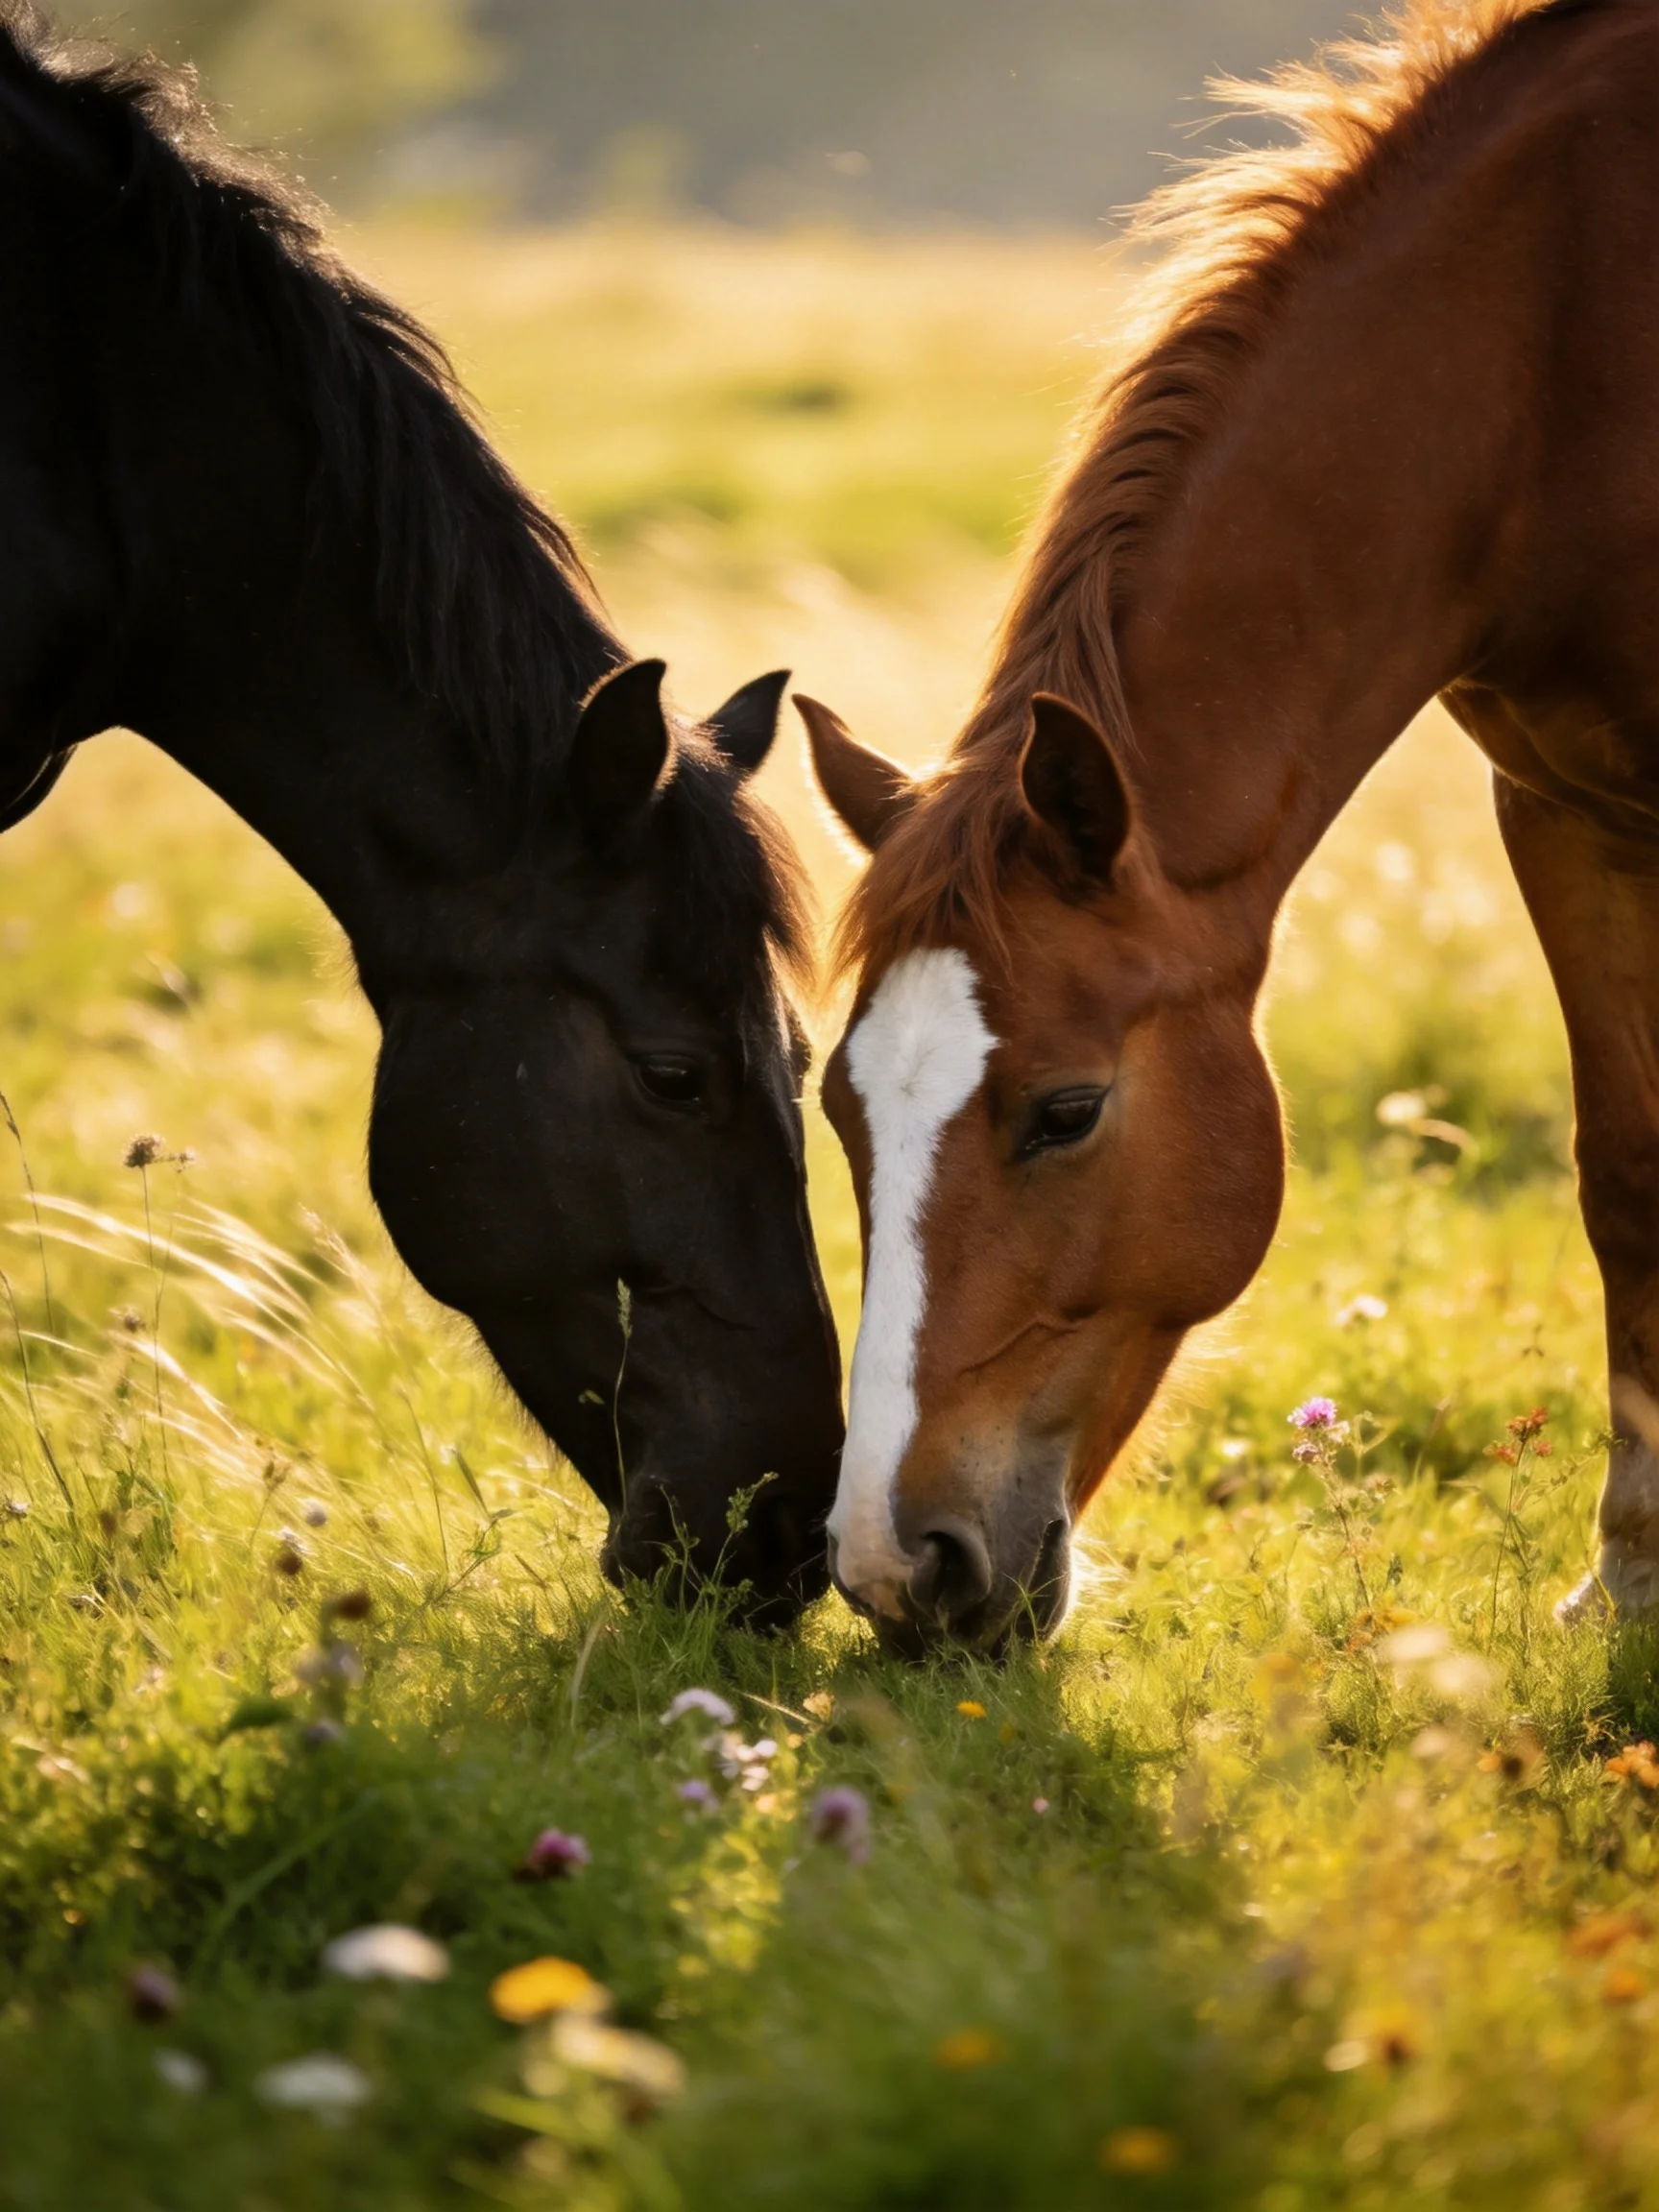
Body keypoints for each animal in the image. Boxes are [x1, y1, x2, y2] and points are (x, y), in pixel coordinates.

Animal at [801, 0, 1659, 1651]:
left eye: (1068, 1111)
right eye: (840, 1110)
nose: (894, 1567)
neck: (1550, 351)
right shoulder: (1562, 805)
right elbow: (1627, 1169)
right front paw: (1635, 1578)